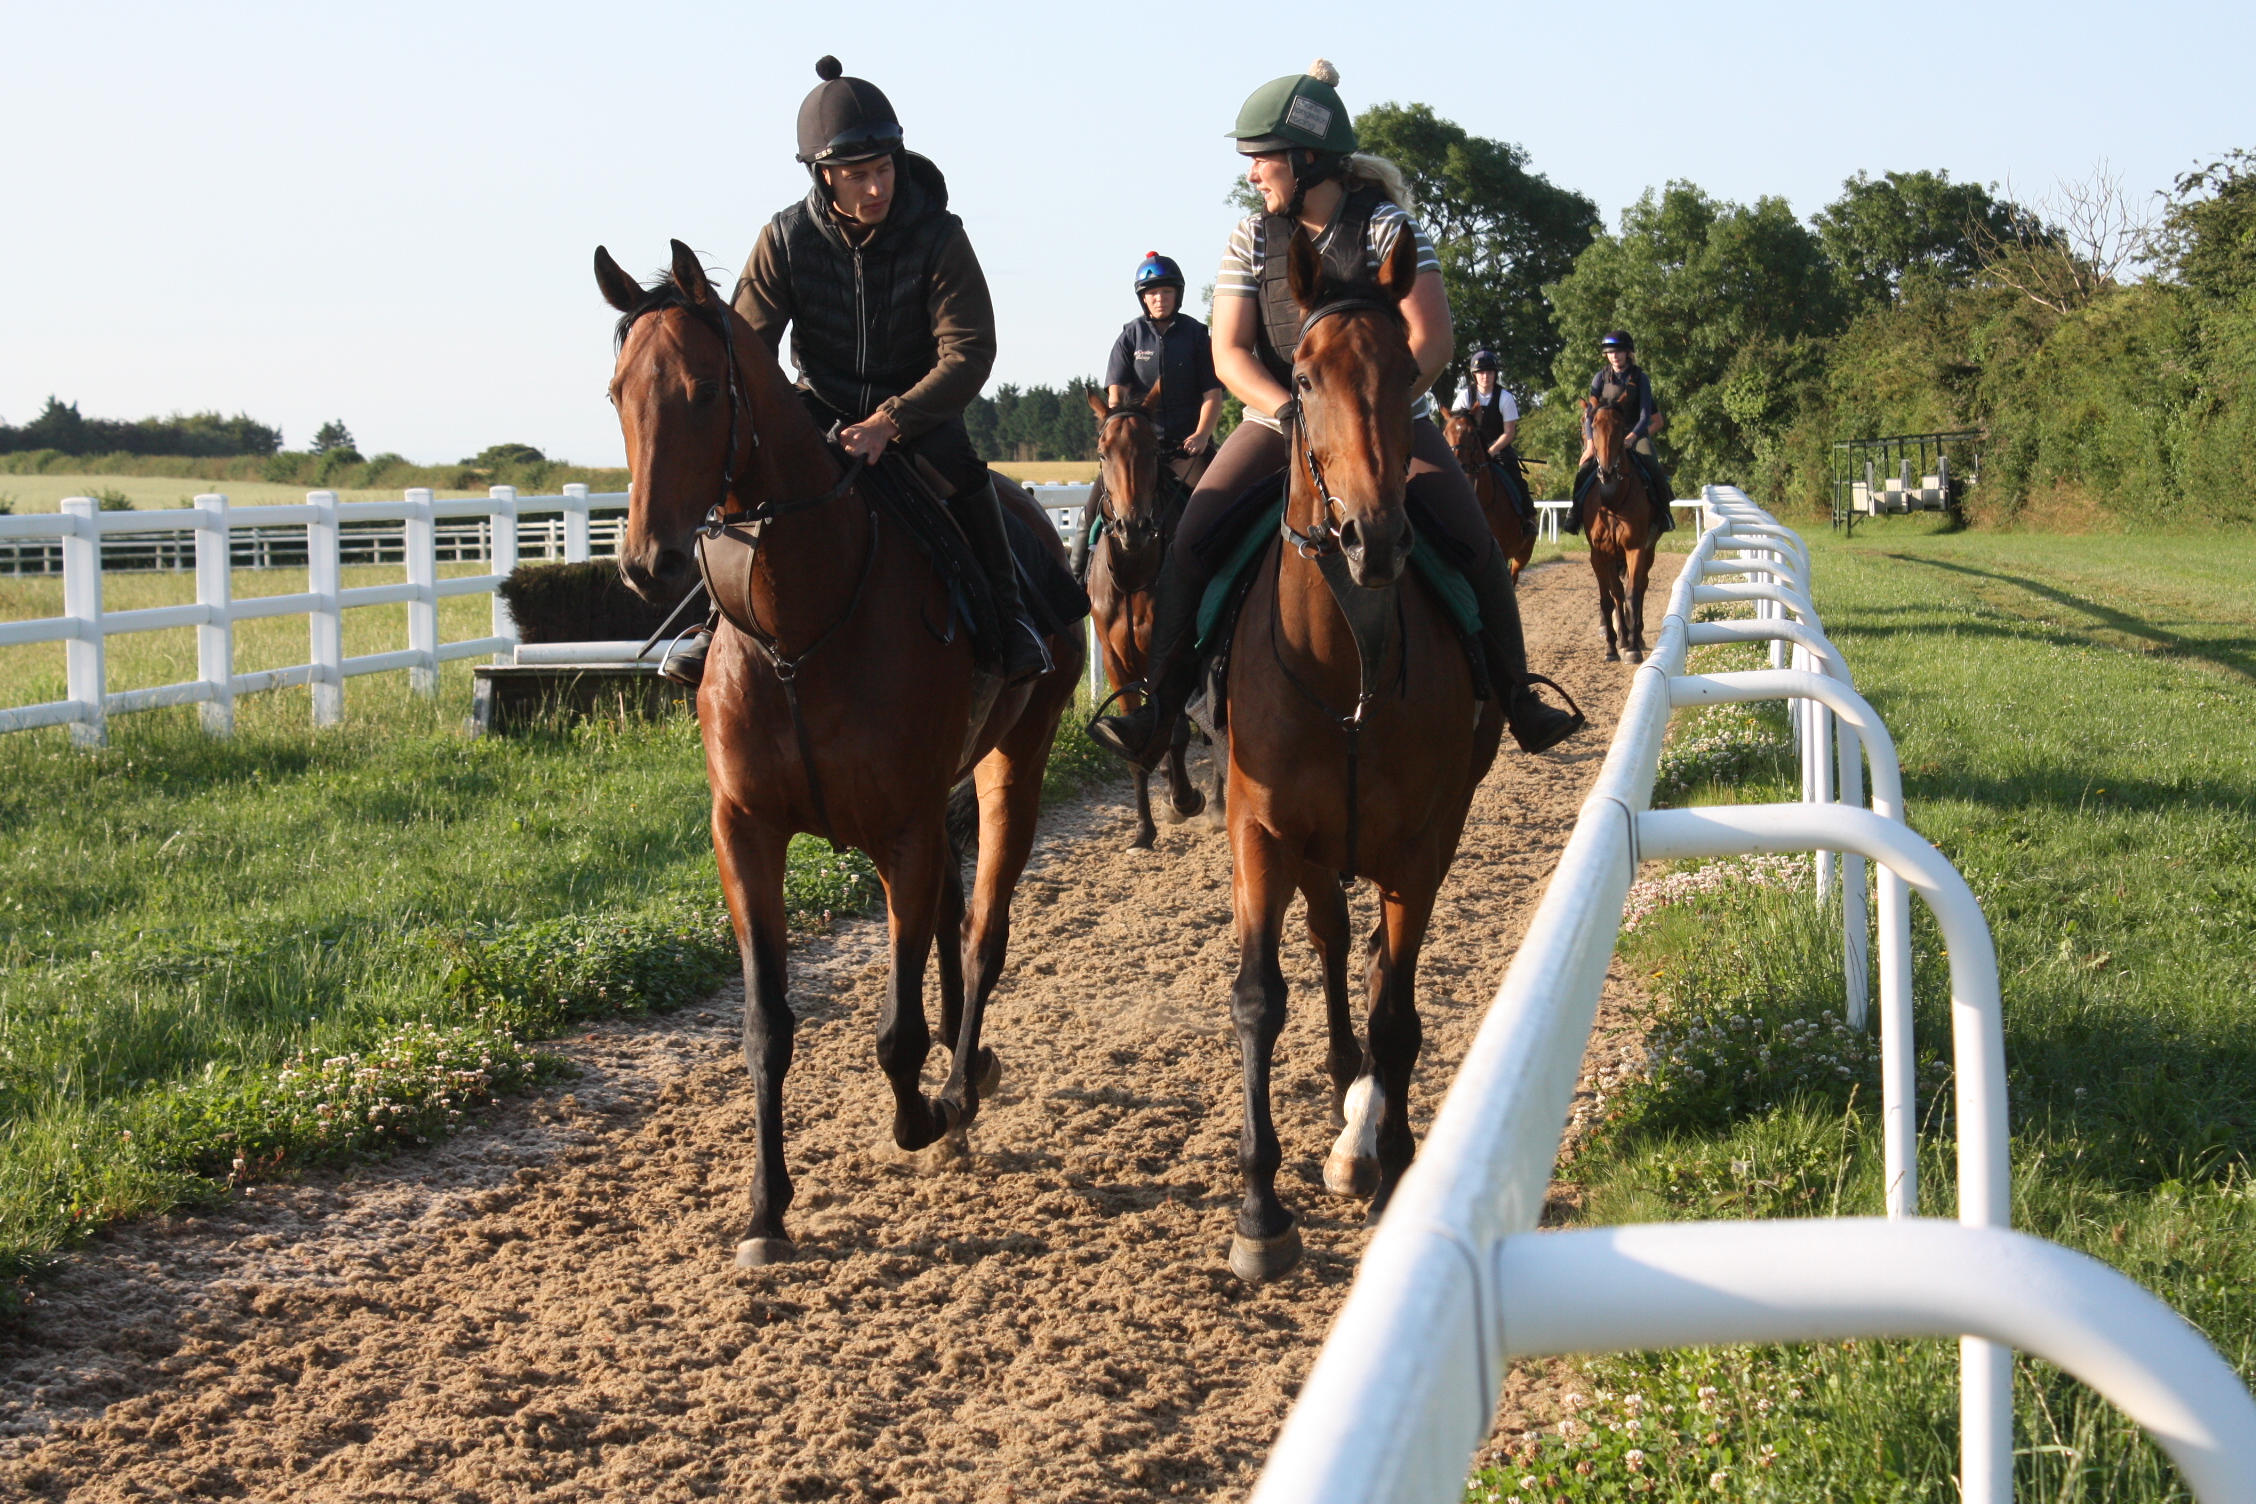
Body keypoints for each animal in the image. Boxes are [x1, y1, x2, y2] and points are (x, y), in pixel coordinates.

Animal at [591, 241, 1082, 1262]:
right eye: (617, 392)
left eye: (704, 390)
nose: (649, 562)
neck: (798, 626)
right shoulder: (746, 832)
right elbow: (766, 1026)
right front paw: (764, 1211)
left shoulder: (902, 832)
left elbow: (894, 1029)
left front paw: (925, 1113)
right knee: (952, 921)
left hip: (1013, 761)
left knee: (983, 933)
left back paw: (963, 1083)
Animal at [1082, 383, 1209, 852]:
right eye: (1102, 452)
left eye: (1153, 450)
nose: (1133, 527)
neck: (1136, 577)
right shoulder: (1117, 661)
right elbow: (1139, 743)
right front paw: (1143, 829)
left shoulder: (1172, 654)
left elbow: (1176, 729)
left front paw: (1185, 799)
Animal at [1218, 226, 1497, 1280]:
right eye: (1301, 376)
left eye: (1409, 372)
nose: (1371, 538)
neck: (1346, 665)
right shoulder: (1260, 831)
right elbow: (1260, 998)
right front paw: (1260, 1212)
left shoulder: (1422, 844)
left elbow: (1395, 1008)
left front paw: (1391, 1162)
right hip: (1311, 851)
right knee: (1335, 947)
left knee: (1374, 968)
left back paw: (1363, 1140)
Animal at [1579, 396, 1669, 662]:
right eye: (1593, 425)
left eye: (1620, 427)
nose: (1607, 471)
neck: (1613, 500)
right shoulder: (1600, 554)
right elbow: (1609, 598)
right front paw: (1612, 647)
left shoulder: (1635, 549)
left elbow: (1632, 593)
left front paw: (1632, 648)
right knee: (1618, 592)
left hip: (1648, 551)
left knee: (1640, 586)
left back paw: (1635, 636)